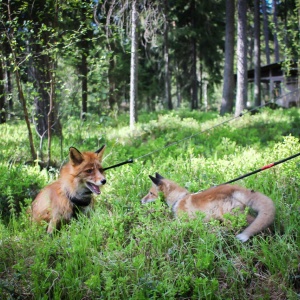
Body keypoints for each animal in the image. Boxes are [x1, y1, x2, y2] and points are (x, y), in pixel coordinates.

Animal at [142, 173, 276, 241]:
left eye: (151, 193)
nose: (141, 200)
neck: (178, 199)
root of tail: (232, 187)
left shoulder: (183, 222)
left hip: (230, 216)